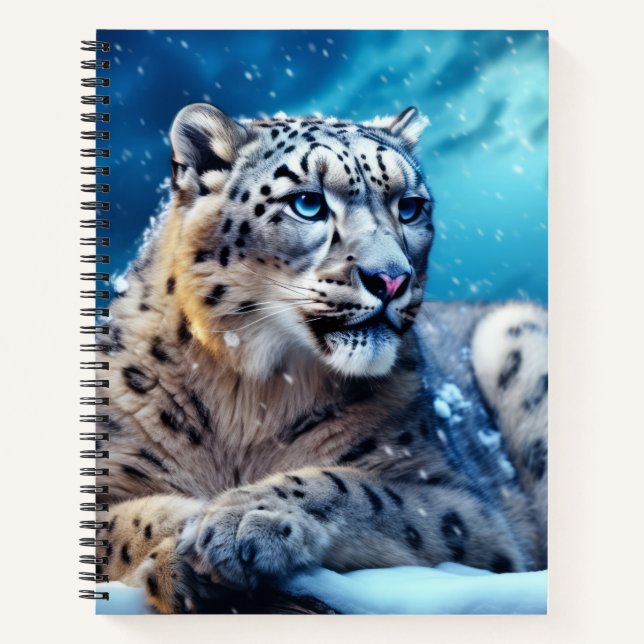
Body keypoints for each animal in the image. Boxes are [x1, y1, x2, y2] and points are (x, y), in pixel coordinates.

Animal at [94, 103, 548, 614]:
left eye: (409, 207)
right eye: (308, 203)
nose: (392, 279)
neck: (247, 397)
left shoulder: (465, 505)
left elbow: (367, 493)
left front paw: (241, 517)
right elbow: (110, 529)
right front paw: (184, 534)